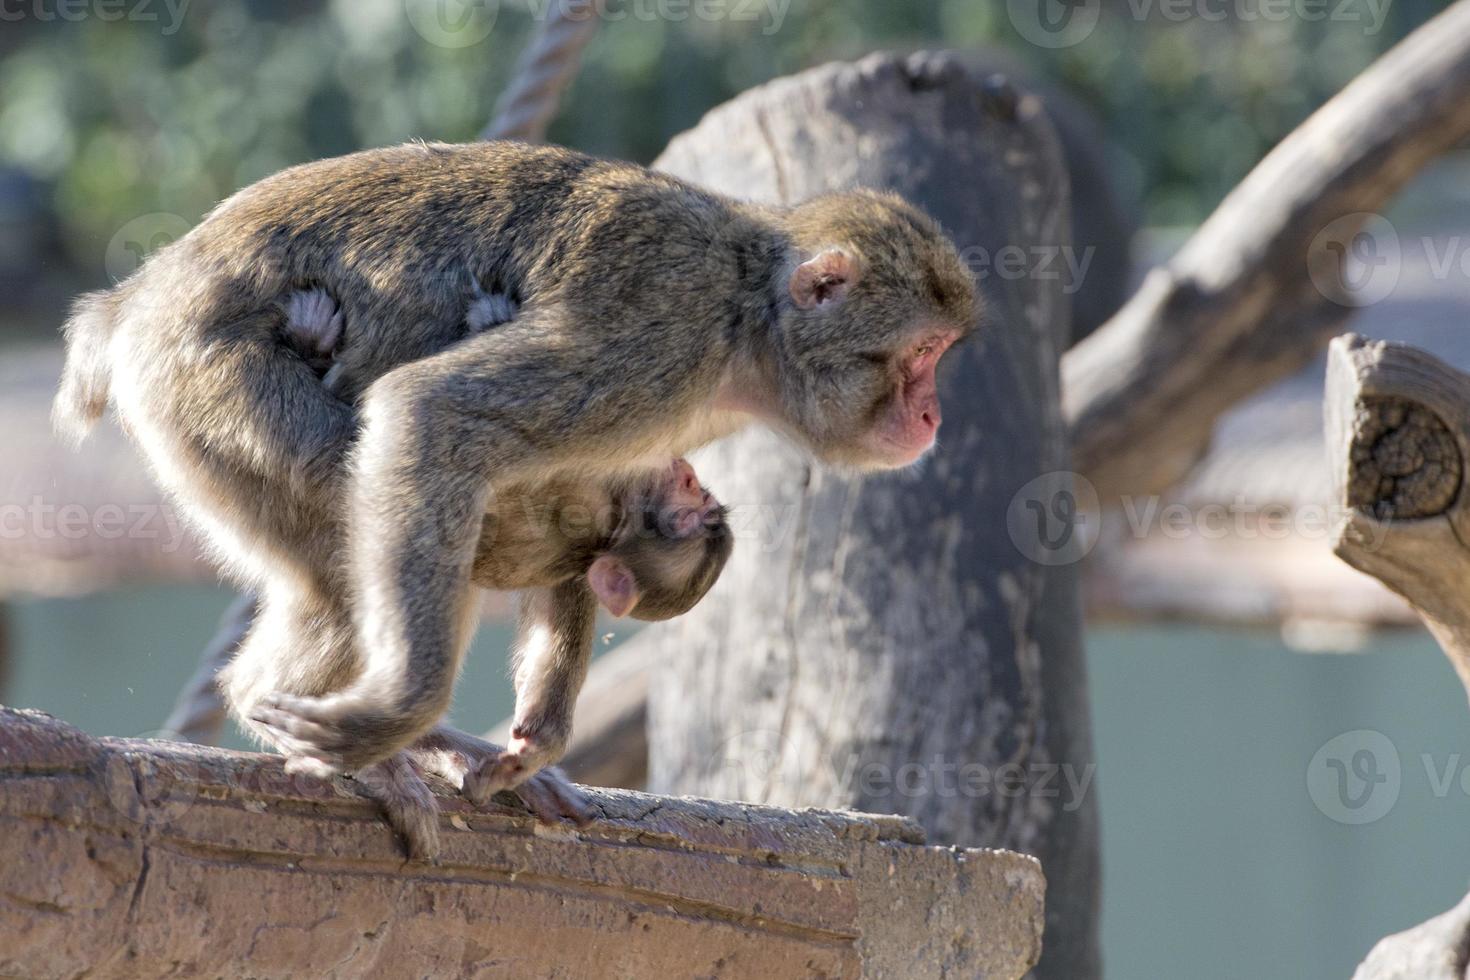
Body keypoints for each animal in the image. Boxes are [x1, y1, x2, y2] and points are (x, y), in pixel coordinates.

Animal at [54, 141, 976, 852]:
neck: (748, 323)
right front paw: (399, 707)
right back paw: (340, 728)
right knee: (345, 542)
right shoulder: (662, 333)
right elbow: (432, 411)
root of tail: (139, 300)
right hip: (210, 382)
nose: (935, 413)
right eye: (921, 354)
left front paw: (538, 735)